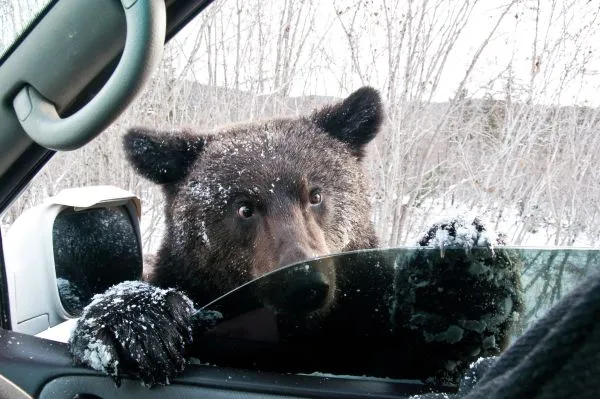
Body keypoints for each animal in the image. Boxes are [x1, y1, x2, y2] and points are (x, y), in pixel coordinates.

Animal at [67, 86, 524, 390]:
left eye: (316, 194)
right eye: (244, 207)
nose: (302, 283)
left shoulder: (366, 328)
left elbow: (440, 356)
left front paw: (463, 269)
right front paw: (134, 324)